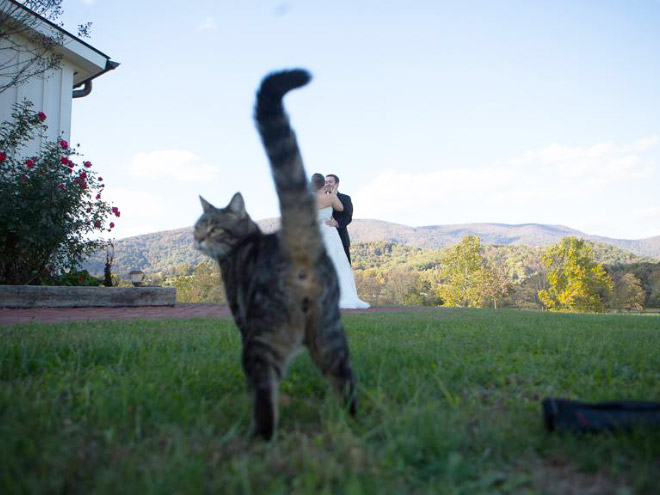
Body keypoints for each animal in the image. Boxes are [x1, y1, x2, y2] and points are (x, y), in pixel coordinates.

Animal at [195, 70, 356, 442]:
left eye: (213, 228)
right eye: (198, 226)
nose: (197, 239)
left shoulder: (241, 316)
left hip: (263, 336)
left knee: (264, 391)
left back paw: (259, 436)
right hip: (328, 333)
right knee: (345, 378)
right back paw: (349, 421)